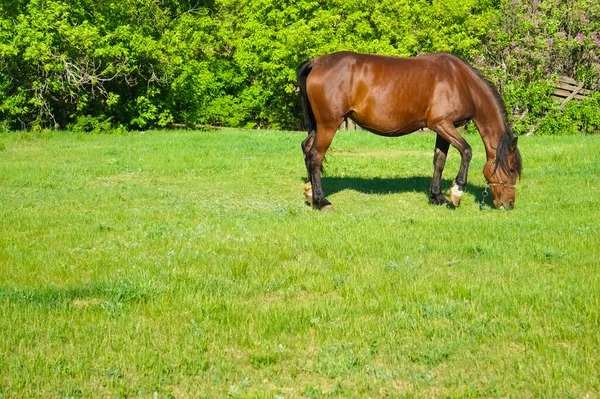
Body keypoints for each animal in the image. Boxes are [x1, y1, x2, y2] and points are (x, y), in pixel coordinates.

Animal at [298, 52, 524, 212]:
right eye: (512, 169)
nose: (509, 204)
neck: (460, 82)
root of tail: (317, 62)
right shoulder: (442, 124)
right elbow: (467, 151)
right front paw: (456, 192)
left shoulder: (442, 128)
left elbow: (439, 160)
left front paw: (437, 197)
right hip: (329, 124)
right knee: (315, 156)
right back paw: (322, 201)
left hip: (320, 126)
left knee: (307, 149)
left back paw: (310, 194)